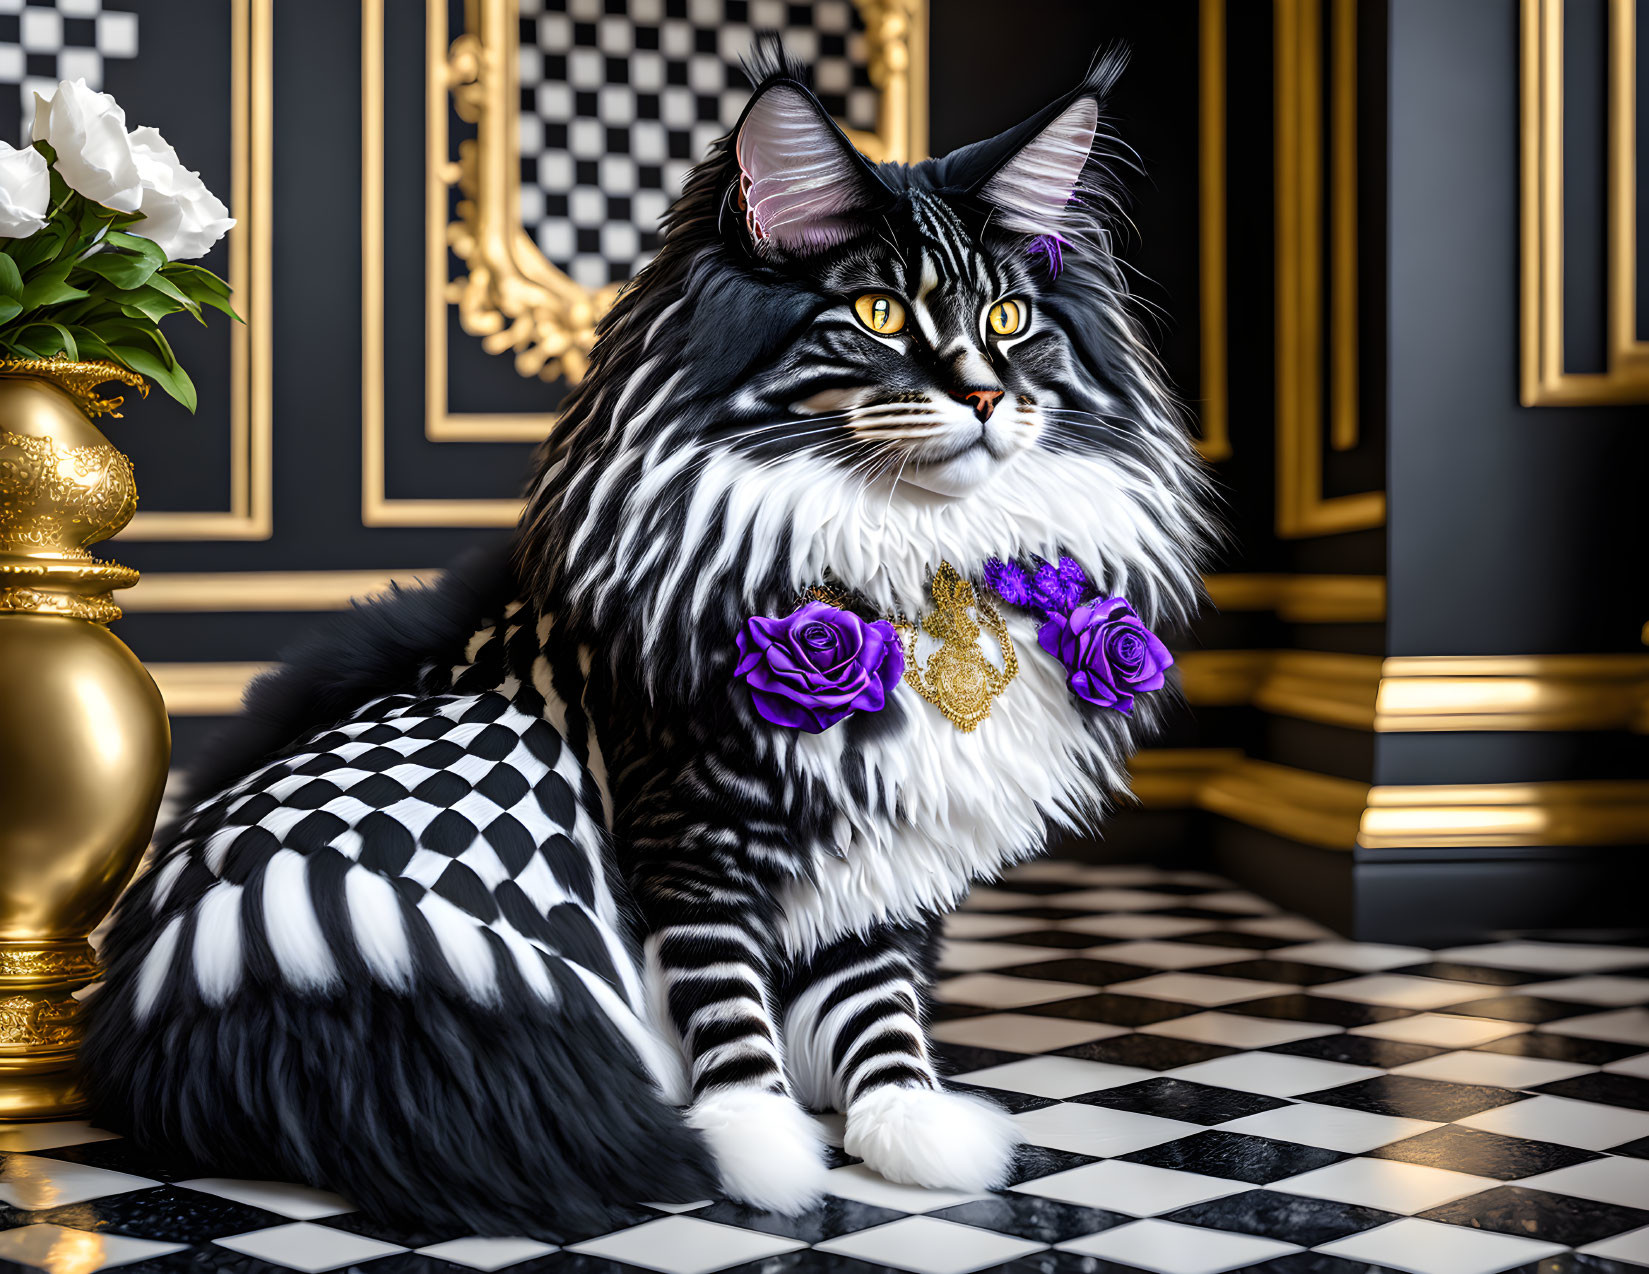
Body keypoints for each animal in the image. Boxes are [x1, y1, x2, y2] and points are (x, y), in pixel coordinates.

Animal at [80, 52, 1213, 1239]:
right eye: (877, 313)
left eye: (1007, 315)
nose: (989, 396)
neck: (915, 563)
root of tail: (224, 973)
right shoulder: (691, 829)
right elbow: (726, 997)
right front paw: (758, 1142)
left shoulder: (878, 858)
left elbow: (878, 1002)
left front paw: (907, 1122)